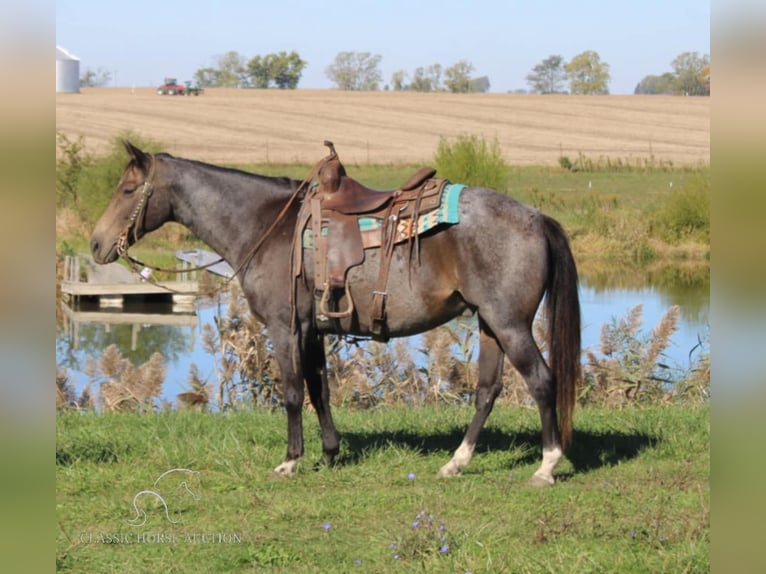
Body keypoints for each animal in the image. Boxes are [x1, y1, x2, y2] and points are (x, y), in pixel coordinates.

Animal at [91, 142, 584, 488]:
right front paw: (329, 453)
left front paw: (290, 460)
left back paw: (546, 467)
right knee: (487, 390)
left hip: (509, 324)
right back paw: (456, 463)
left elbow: (292, 392)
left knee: (542, 382)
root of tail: (537, 218)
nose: (97, 245)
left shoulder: (285, 328)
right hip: (488, 324)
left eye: (128, 190)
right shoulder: (312, 330)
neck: (267, 225)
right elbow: (320, 390)